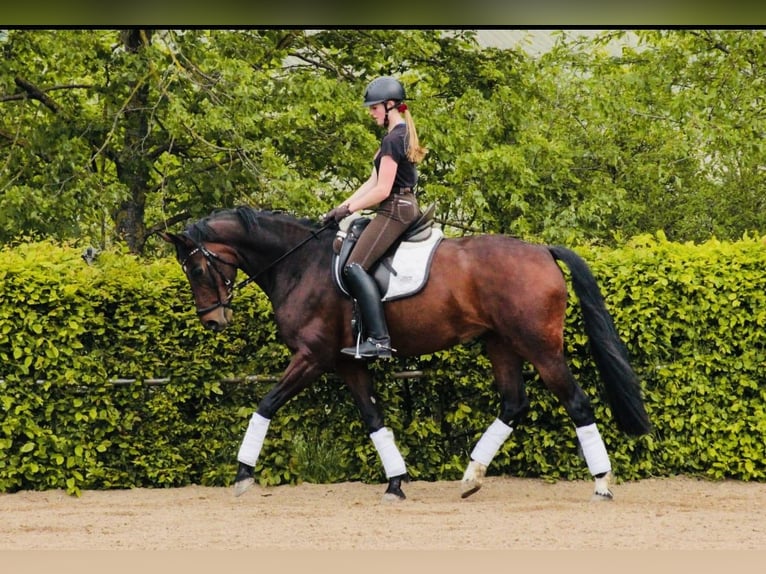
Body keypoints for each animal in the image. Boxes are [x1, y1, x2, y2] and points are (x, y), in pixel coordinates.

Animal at [159, 207, 652, 504]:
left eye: (197, 267)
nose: (212, 321)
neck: (300, 265)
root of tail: (542, 251)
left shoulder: (312, 357)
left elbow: (265, 404)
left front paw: (243, 474)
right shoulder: (348, 363)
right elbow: (374, 419)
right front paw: (396, 482)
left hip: (539, 346)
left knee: (577, 403)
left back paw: (602, 484)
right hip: (501, 344)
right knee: (514, 403)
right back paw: (471, 477)